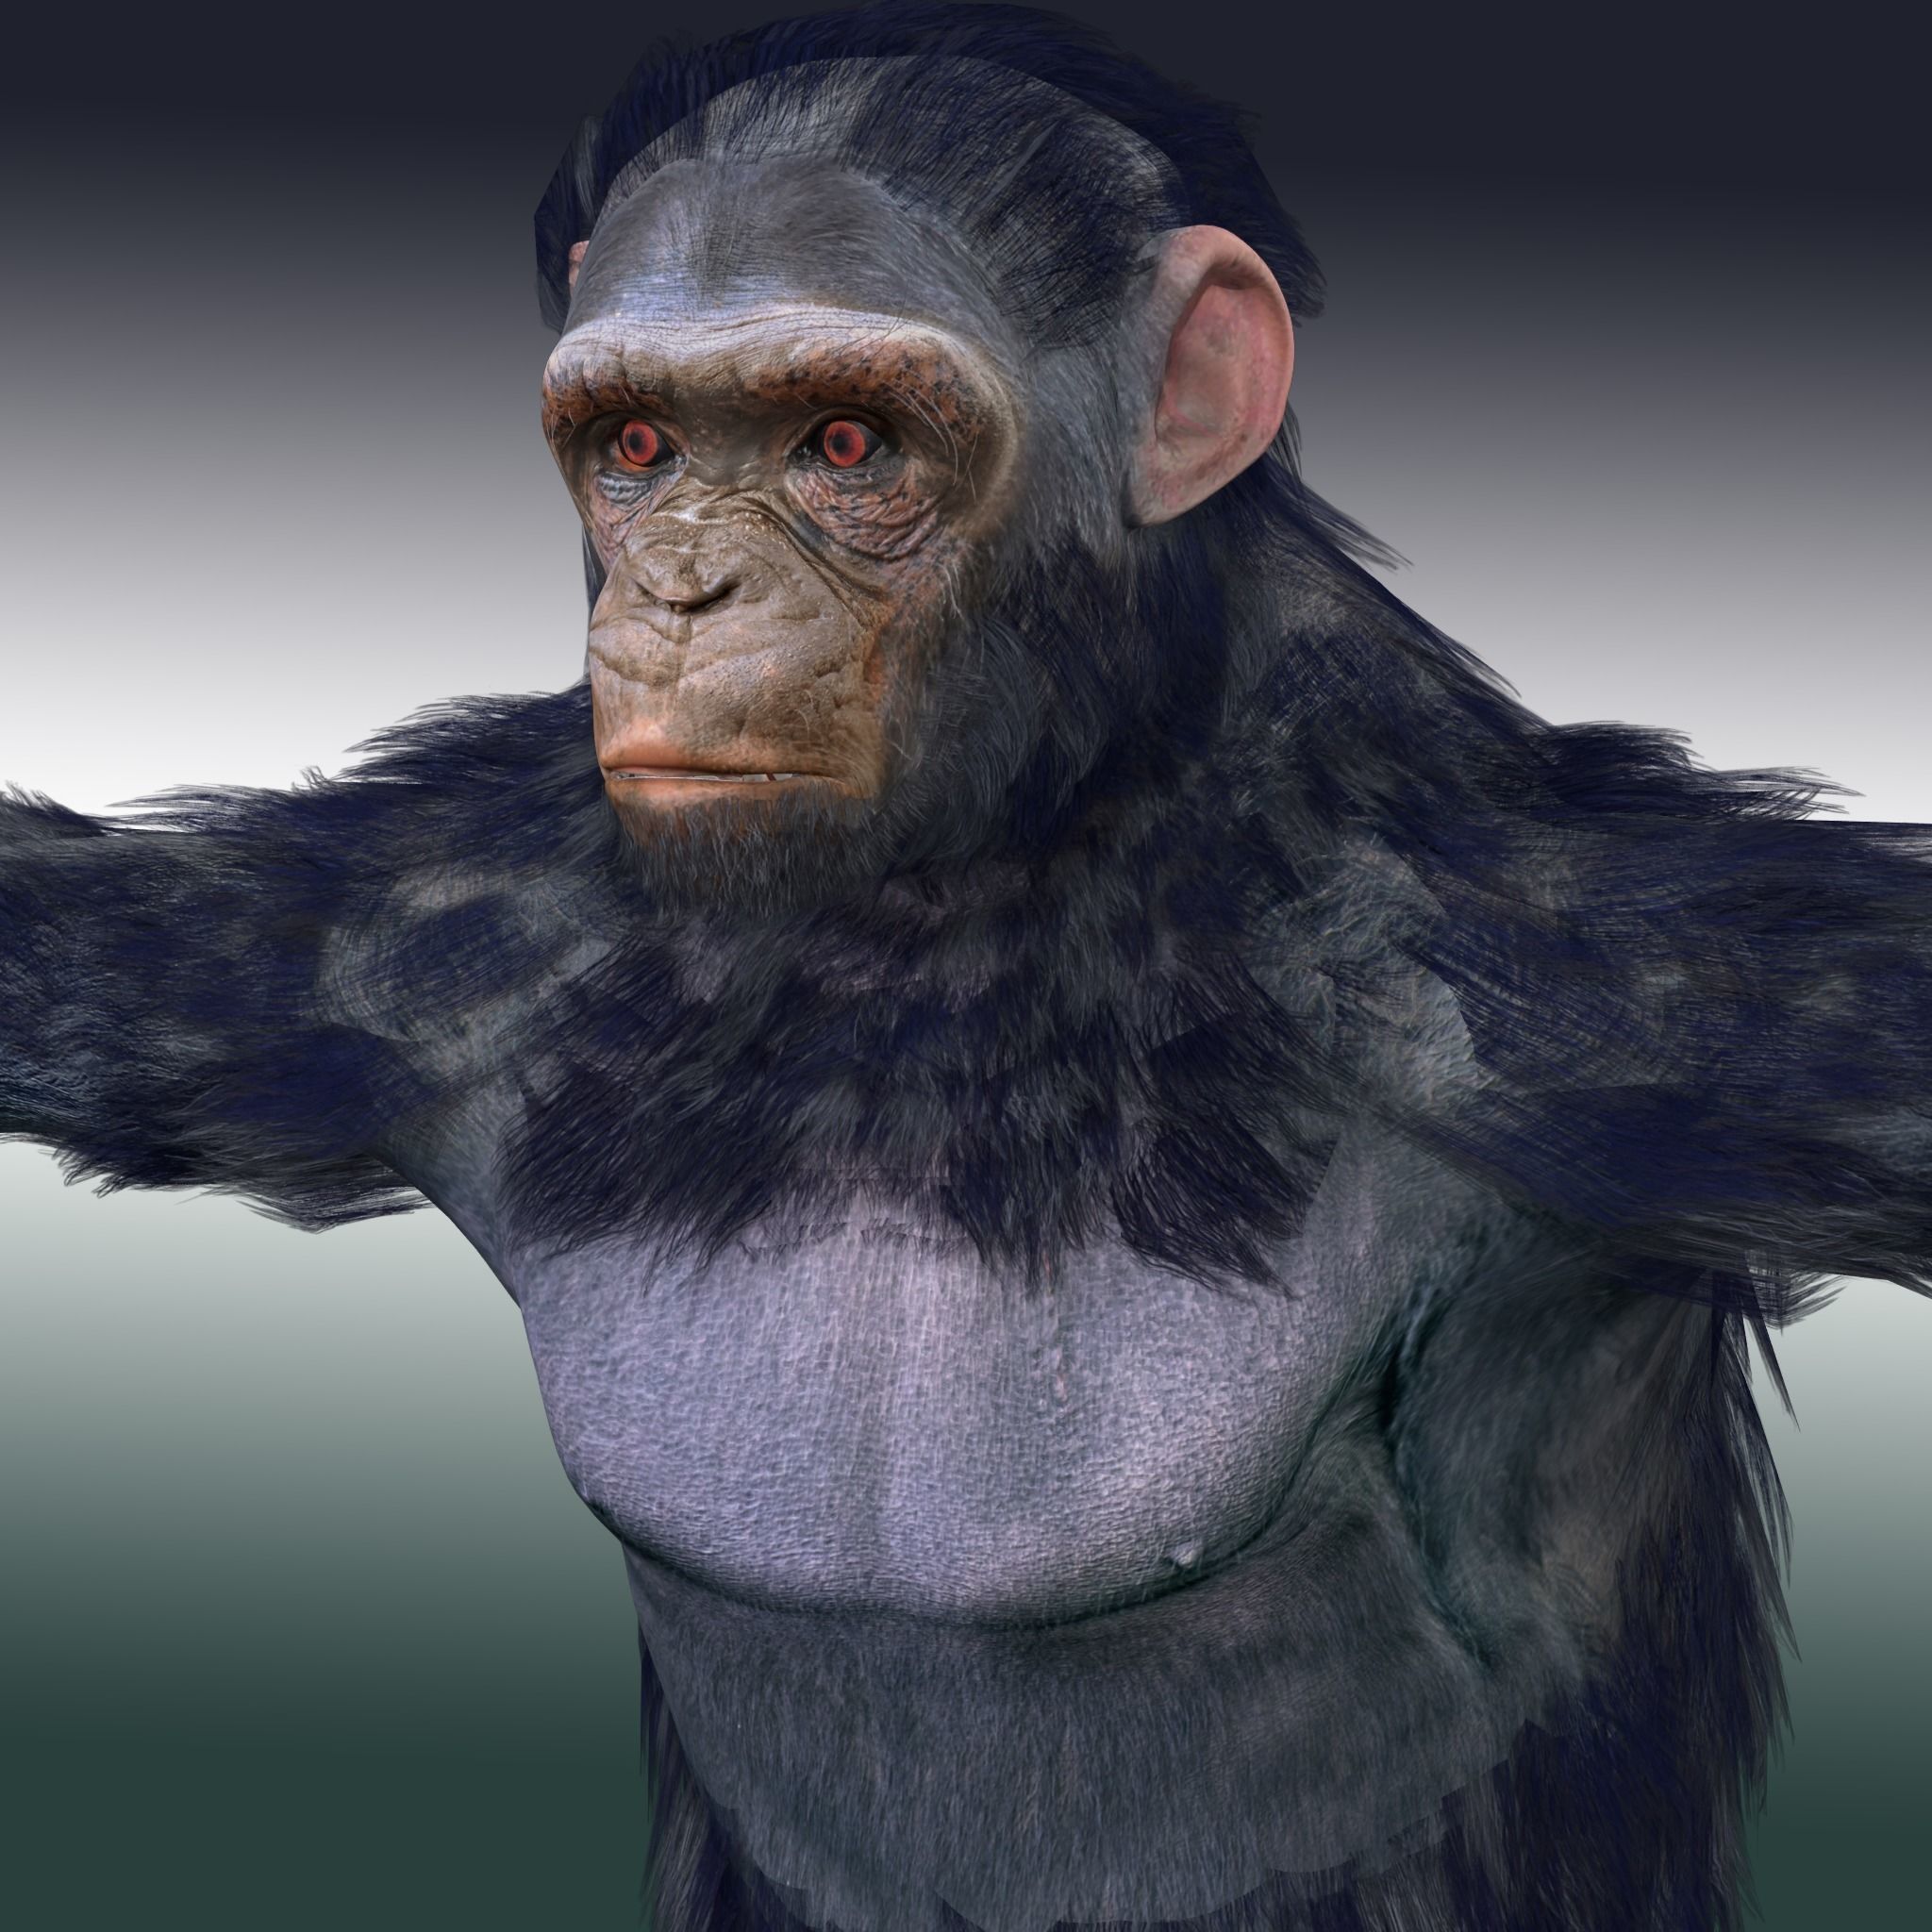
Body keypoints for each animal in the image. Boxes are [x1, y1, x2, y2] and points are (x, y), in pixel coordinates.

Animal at [4, 6, 1929, 1929]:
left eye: (847, 442)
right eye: (635, 446)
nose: (680, 595)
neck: (969, 904)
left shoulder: (1568, 968)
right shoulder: (420, 936)